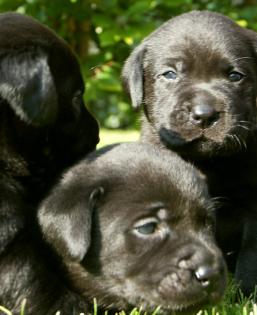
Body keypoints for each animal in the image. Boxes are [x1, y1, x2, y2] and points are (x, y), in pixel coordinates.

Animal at [122, 9, 257, 296]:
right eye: (170, 74)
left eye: (235, 76)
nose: (204, 114)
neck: (207, 162)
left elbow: (252, 253)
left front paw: (246, 292)